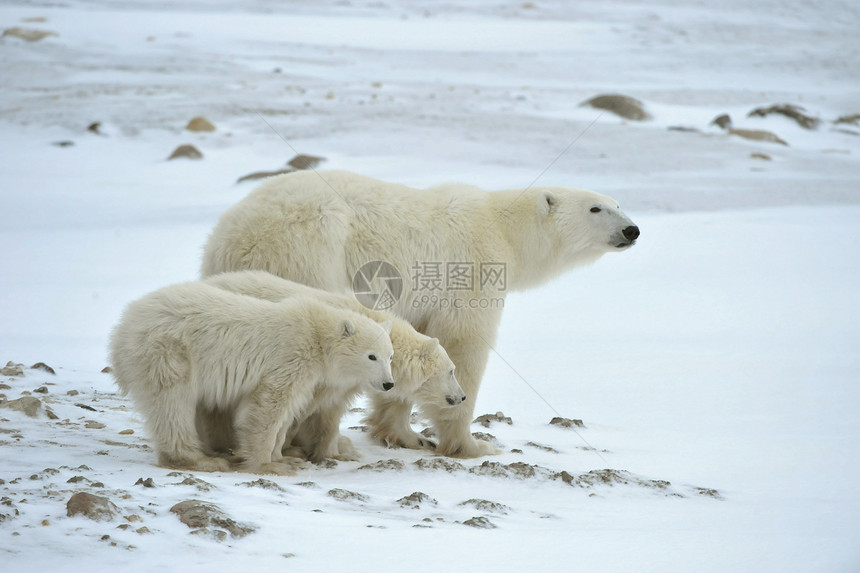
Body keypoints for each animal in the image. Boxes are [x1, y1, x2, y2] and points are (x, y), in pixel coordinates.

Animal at [107, 280, 396, 474]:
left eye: (390, 356)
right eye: (372, 356)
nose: (388, 383)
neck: (316, 334)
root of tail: (122, 327)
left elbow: (287, 412)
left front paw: (284, 457)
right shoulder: (289, 357)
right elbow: (269, 405)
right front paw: (268, 465)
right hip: (169, 351)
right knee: (172, 404)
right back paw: (202, 460)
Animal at [202, 268, 466, 460]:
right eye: (452, 371)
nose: (462, 397)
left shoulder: (344, 381)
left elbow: (329, 410)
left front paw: (332, 451)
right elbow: (301, 408)